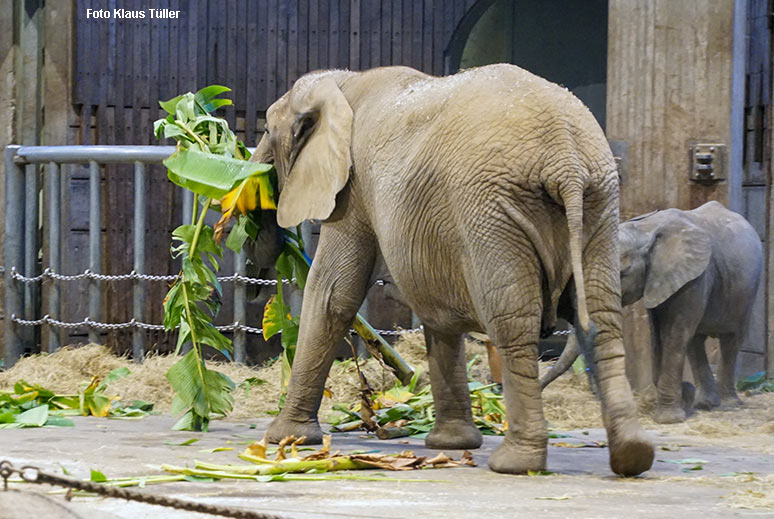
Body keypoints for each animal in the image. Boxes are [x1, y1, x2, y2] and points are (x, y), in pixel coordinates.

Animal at [253, 64, 656, 476]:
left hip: (494, 210)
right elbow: (433, 303)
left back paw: (515, 463)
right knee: (603, 318)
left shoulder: (353, 186)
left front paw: (285, 438)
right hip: (599, 206)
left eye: (267, 128)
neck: (342, 82)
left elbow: (332, 292)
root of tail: (567, 163)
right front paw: (452, 444)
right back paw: (633, 456)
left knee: (513, 322)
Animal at [544, 201, 768, 424]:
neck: (646, 230)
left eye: (621, 274)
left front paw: (668, 418)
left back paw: (728, 404)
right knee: (695, 342)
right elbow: (658, 336)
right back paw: (705, 404)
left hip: (748, 290)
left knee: (730, 339)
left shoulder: (695, 276)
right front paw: (682, 397)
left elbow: (675, 334)